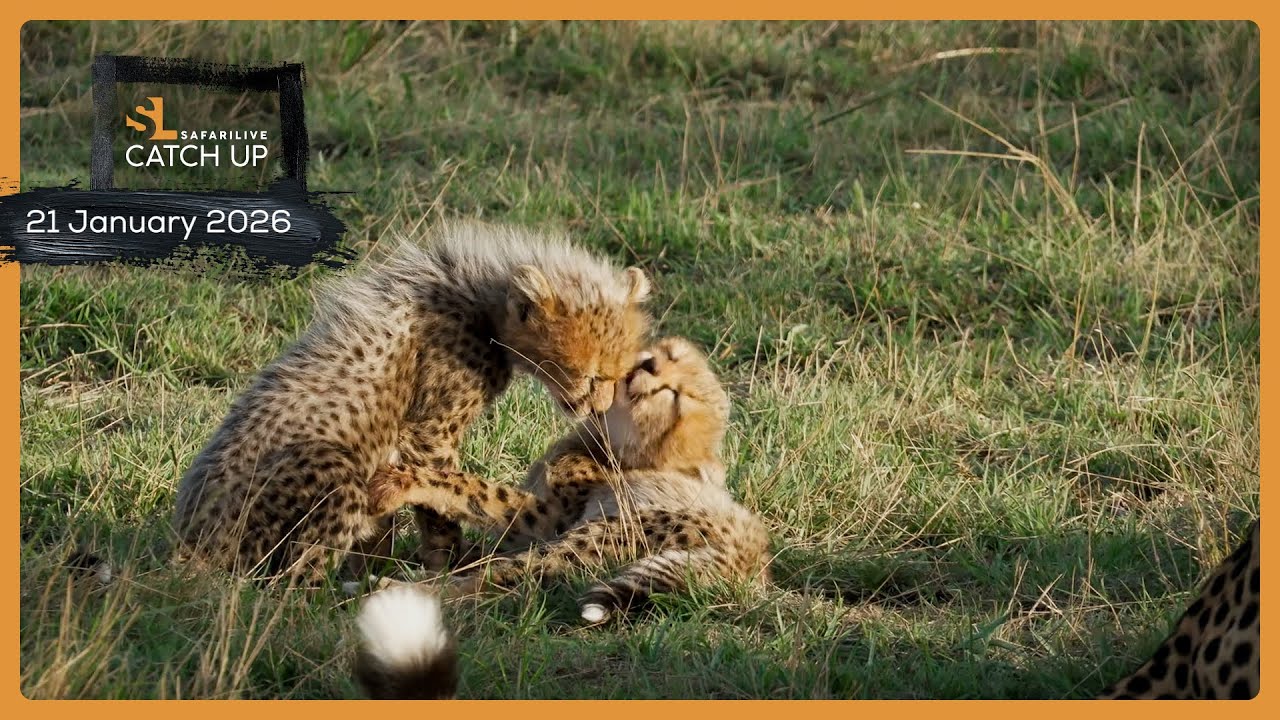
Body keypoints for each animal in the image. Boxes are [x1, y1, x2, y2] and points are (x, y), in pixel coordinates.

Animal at [171, 221, 652, 583]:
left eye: (618, 374)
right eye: (590, 374)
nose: (598, 409)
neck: (480, 298)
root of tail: (191, 543)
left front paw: (371, 570)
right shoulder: (429, 432)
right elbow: (439, 499)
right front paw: (449, 563)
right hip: (318, 476)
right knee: (287, 582)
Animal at [364, 336, 772, 624]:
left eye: (674, 397)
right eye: (670, 355)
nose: (650, 363)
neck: (613, 447)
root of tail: (753, 553)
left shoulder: (544, 520)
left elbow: (473, 489)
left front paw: (403, 481)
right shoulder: (524, 531)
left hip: (599, 535)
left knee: (501, 578)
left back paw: (389, 590)